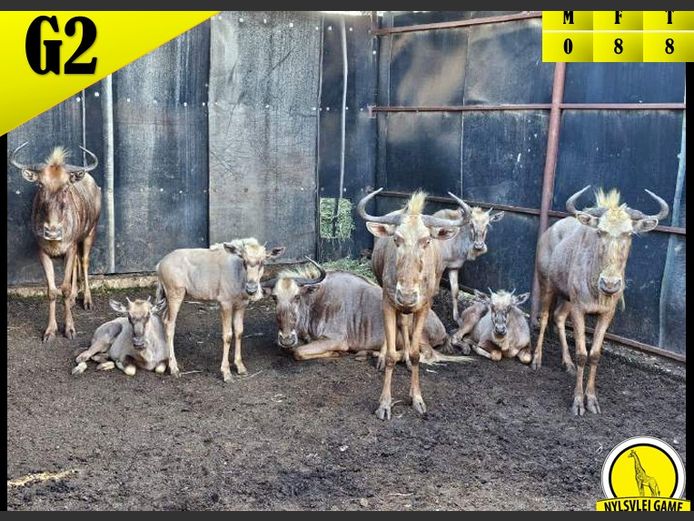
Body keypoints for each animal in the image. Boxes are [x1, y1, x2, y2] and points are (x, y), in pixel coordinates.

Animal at [10, 142, 101, 341]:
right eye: (40, 184)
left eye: (66, 186)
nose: (52, 232)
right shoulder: (43, 252)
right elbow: (52, 291)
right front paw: (50, 330)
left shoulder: (71, 247)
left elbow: (64, 289)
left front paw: (69, 328)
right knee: (76, 265)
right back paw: (75, 298)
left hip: (90, 233)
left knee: (84, 262)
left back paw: (87, 300)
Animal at [358, 188, 467, 419]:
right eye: (397, 239)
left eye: (426, 240)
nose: (406, 296)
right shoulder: (389, 303)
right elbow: (392, 355)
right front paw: (385, 404)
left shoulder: (423, 307)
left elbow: (417, 354)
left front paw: (416, 398)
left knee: (405, 325)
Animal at [532, 186, 669, 415]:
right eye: (600, 231)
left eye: (629, 233)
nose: (610, 284)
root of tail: (548, 233)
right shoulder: (579, 310)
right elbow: (582, 354)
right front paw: (578, 402)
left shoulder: (605, 314)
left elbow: (594, 354)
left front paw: (592, 400)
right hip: (546, 285)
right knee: (543, 318)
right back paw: (537, 359)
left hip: (567, 297)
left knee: (558, 317)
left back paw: (567, 363)